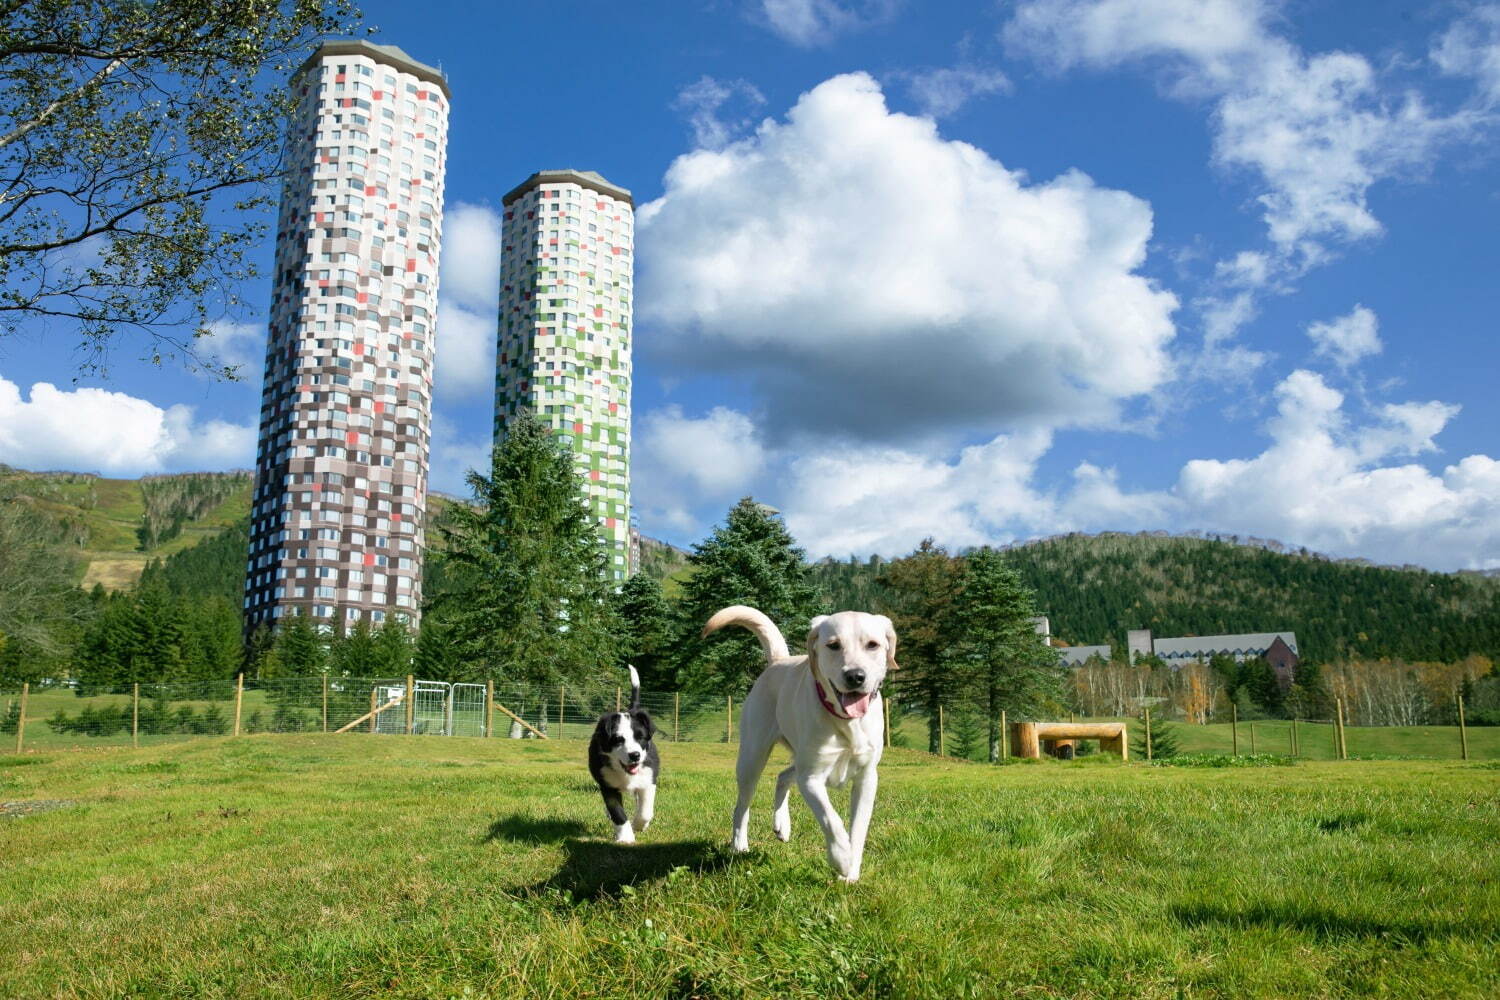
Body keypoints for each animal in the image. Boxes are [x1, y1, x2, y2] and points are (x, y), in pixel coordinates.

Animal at [585, 668, 657, 839]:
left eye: (640, 737)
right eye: (618, 740)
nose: (635, 755)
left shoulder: (648, 777)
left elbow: (645, 811)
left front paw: (638, 825)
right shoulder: (607, 785)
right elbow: (617, 812)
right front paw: (626, 838)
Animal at [699, 605, 894, 881]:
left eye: (873, 645)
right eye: (833, 645)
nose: (855, 676)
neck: (845, 723)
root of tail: (778, 660)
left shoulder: (867, 779)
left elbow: (858, 828)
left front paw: (850, 873)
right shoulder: (811, 778)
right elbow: (831, 819)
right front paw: (842, 858)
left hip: (796, 758)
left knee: (783, 775)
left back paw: (782, 824)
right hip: (752, 758)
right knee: (742, 806)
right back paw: (739, 845)